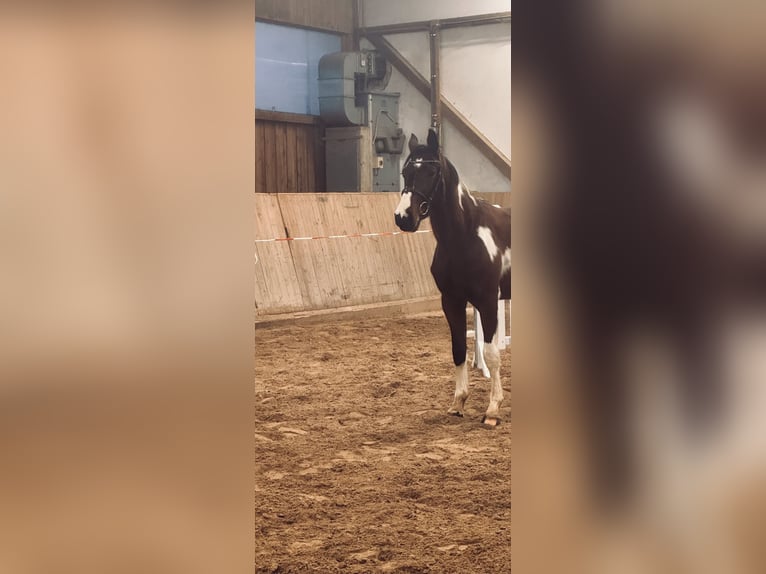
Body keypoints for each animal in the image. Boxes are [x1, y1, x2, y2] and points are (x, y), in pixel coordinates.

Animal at [394, 129, 511, 426]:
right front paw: (458, 402)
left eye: (431, 172)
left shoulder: (488, 301)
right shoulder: (452, 301)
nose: (403, 217)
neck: (465, 234)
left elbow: (492, 354)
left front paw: (493, 409)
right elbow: (458, 349)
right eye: (405, 171)